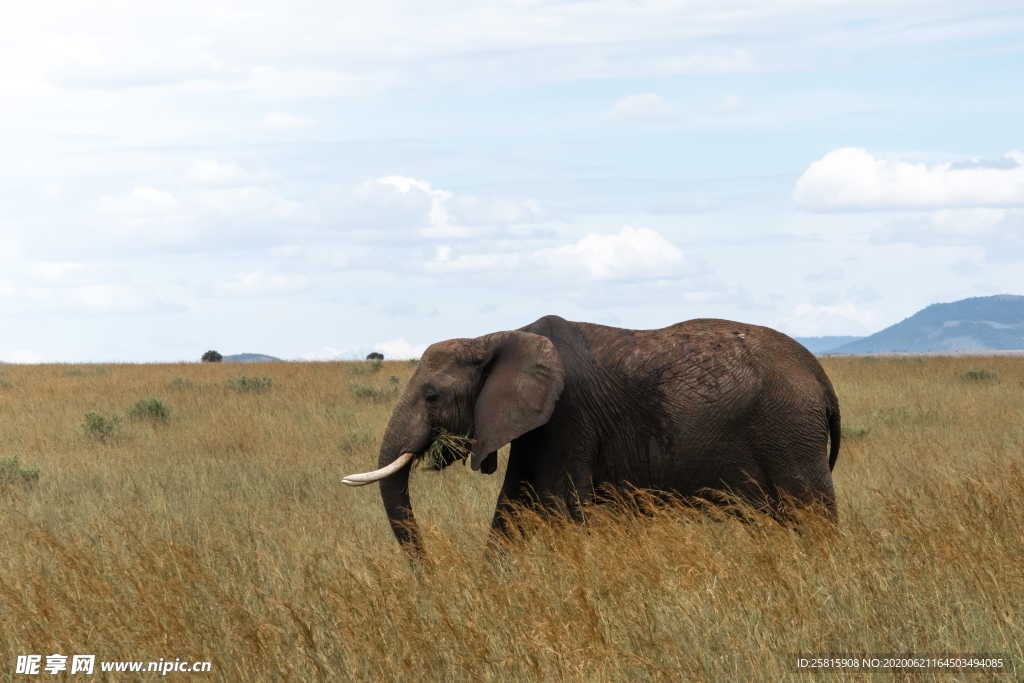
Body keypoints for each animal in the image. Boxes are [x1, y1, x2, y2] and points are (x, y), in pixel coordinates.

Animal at [344, 315, 839, 557]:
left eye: (432, 395)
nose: (429, 575)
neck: (496, 337)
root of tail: (820, 375)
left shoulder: (568, 416)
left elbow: (563, 508)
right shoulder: (537, 427)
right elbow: (510, 509)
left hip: (789, 429)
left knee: (812, 512)